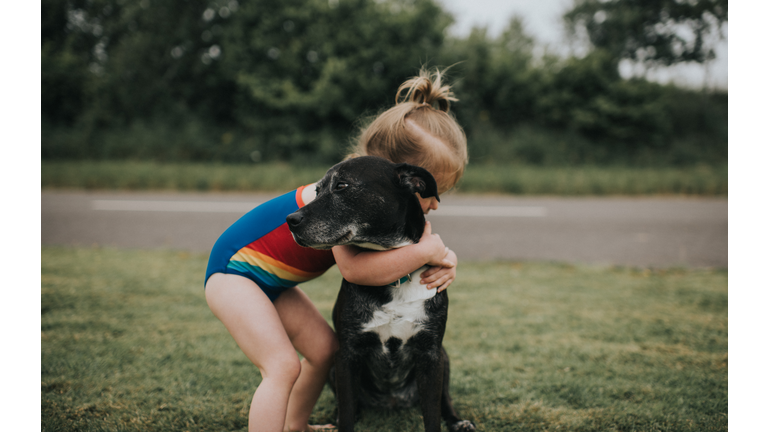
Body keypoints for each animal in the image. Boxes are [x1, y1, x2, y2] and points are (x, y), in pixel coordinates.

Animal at [284, 156, 474, 432]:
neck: (395, 276)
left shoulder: (431, 355)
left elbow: (432, 413)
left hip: (444, 359)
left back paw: (458, 421)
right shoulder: (346, 356)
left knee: (445, 400)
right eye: (317, 191)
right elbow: (347, 414)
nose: (290, 219)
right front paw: (343, 420)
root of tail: (392, 401)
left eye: (342, 185)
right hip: (333, 366)